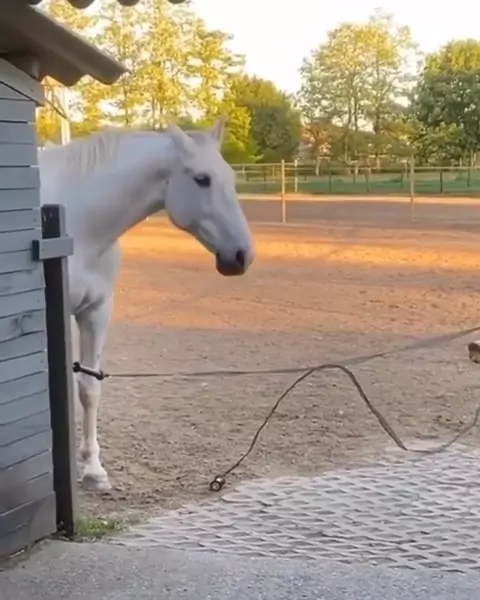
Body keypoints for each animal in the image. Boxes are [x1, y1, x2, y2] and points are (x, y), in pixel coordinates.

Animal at [38, 118, 255, 491]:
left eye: (230, 176)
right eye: (202, 178)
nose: (242, 256)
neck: (77, 222)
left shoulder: (96, 313)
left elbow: (89, 389)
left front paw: (93, 470)